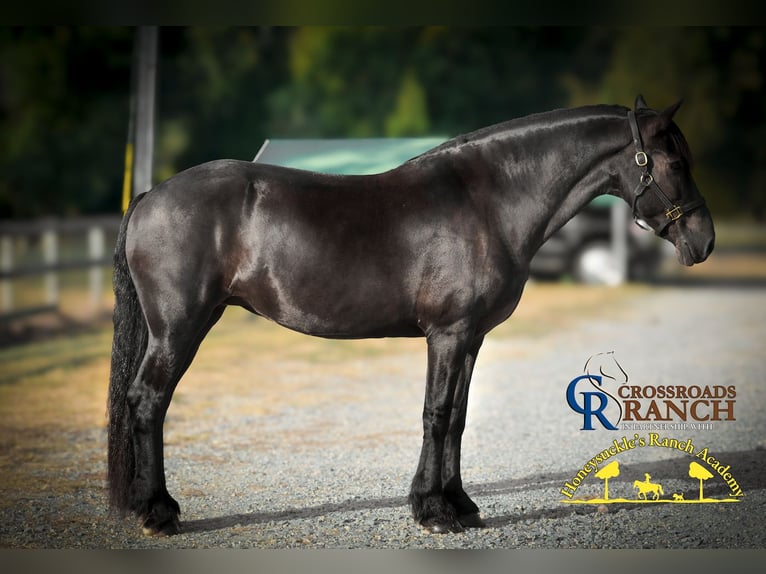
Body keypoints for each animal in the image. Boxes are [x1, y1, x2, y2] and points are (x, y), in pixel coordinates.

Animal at [108, 95, 715, 536]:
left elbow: (459, 417)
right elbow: (436, 414)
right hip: (180, 327)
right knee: (148, 401)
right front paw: (434, 511)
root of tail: (151, 196)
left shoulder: (470, 338)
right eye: (674, 162)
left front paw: (459, 503)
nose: (703, 242)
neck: (489, 202)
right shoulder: (446, 334)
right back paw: (157, 511)